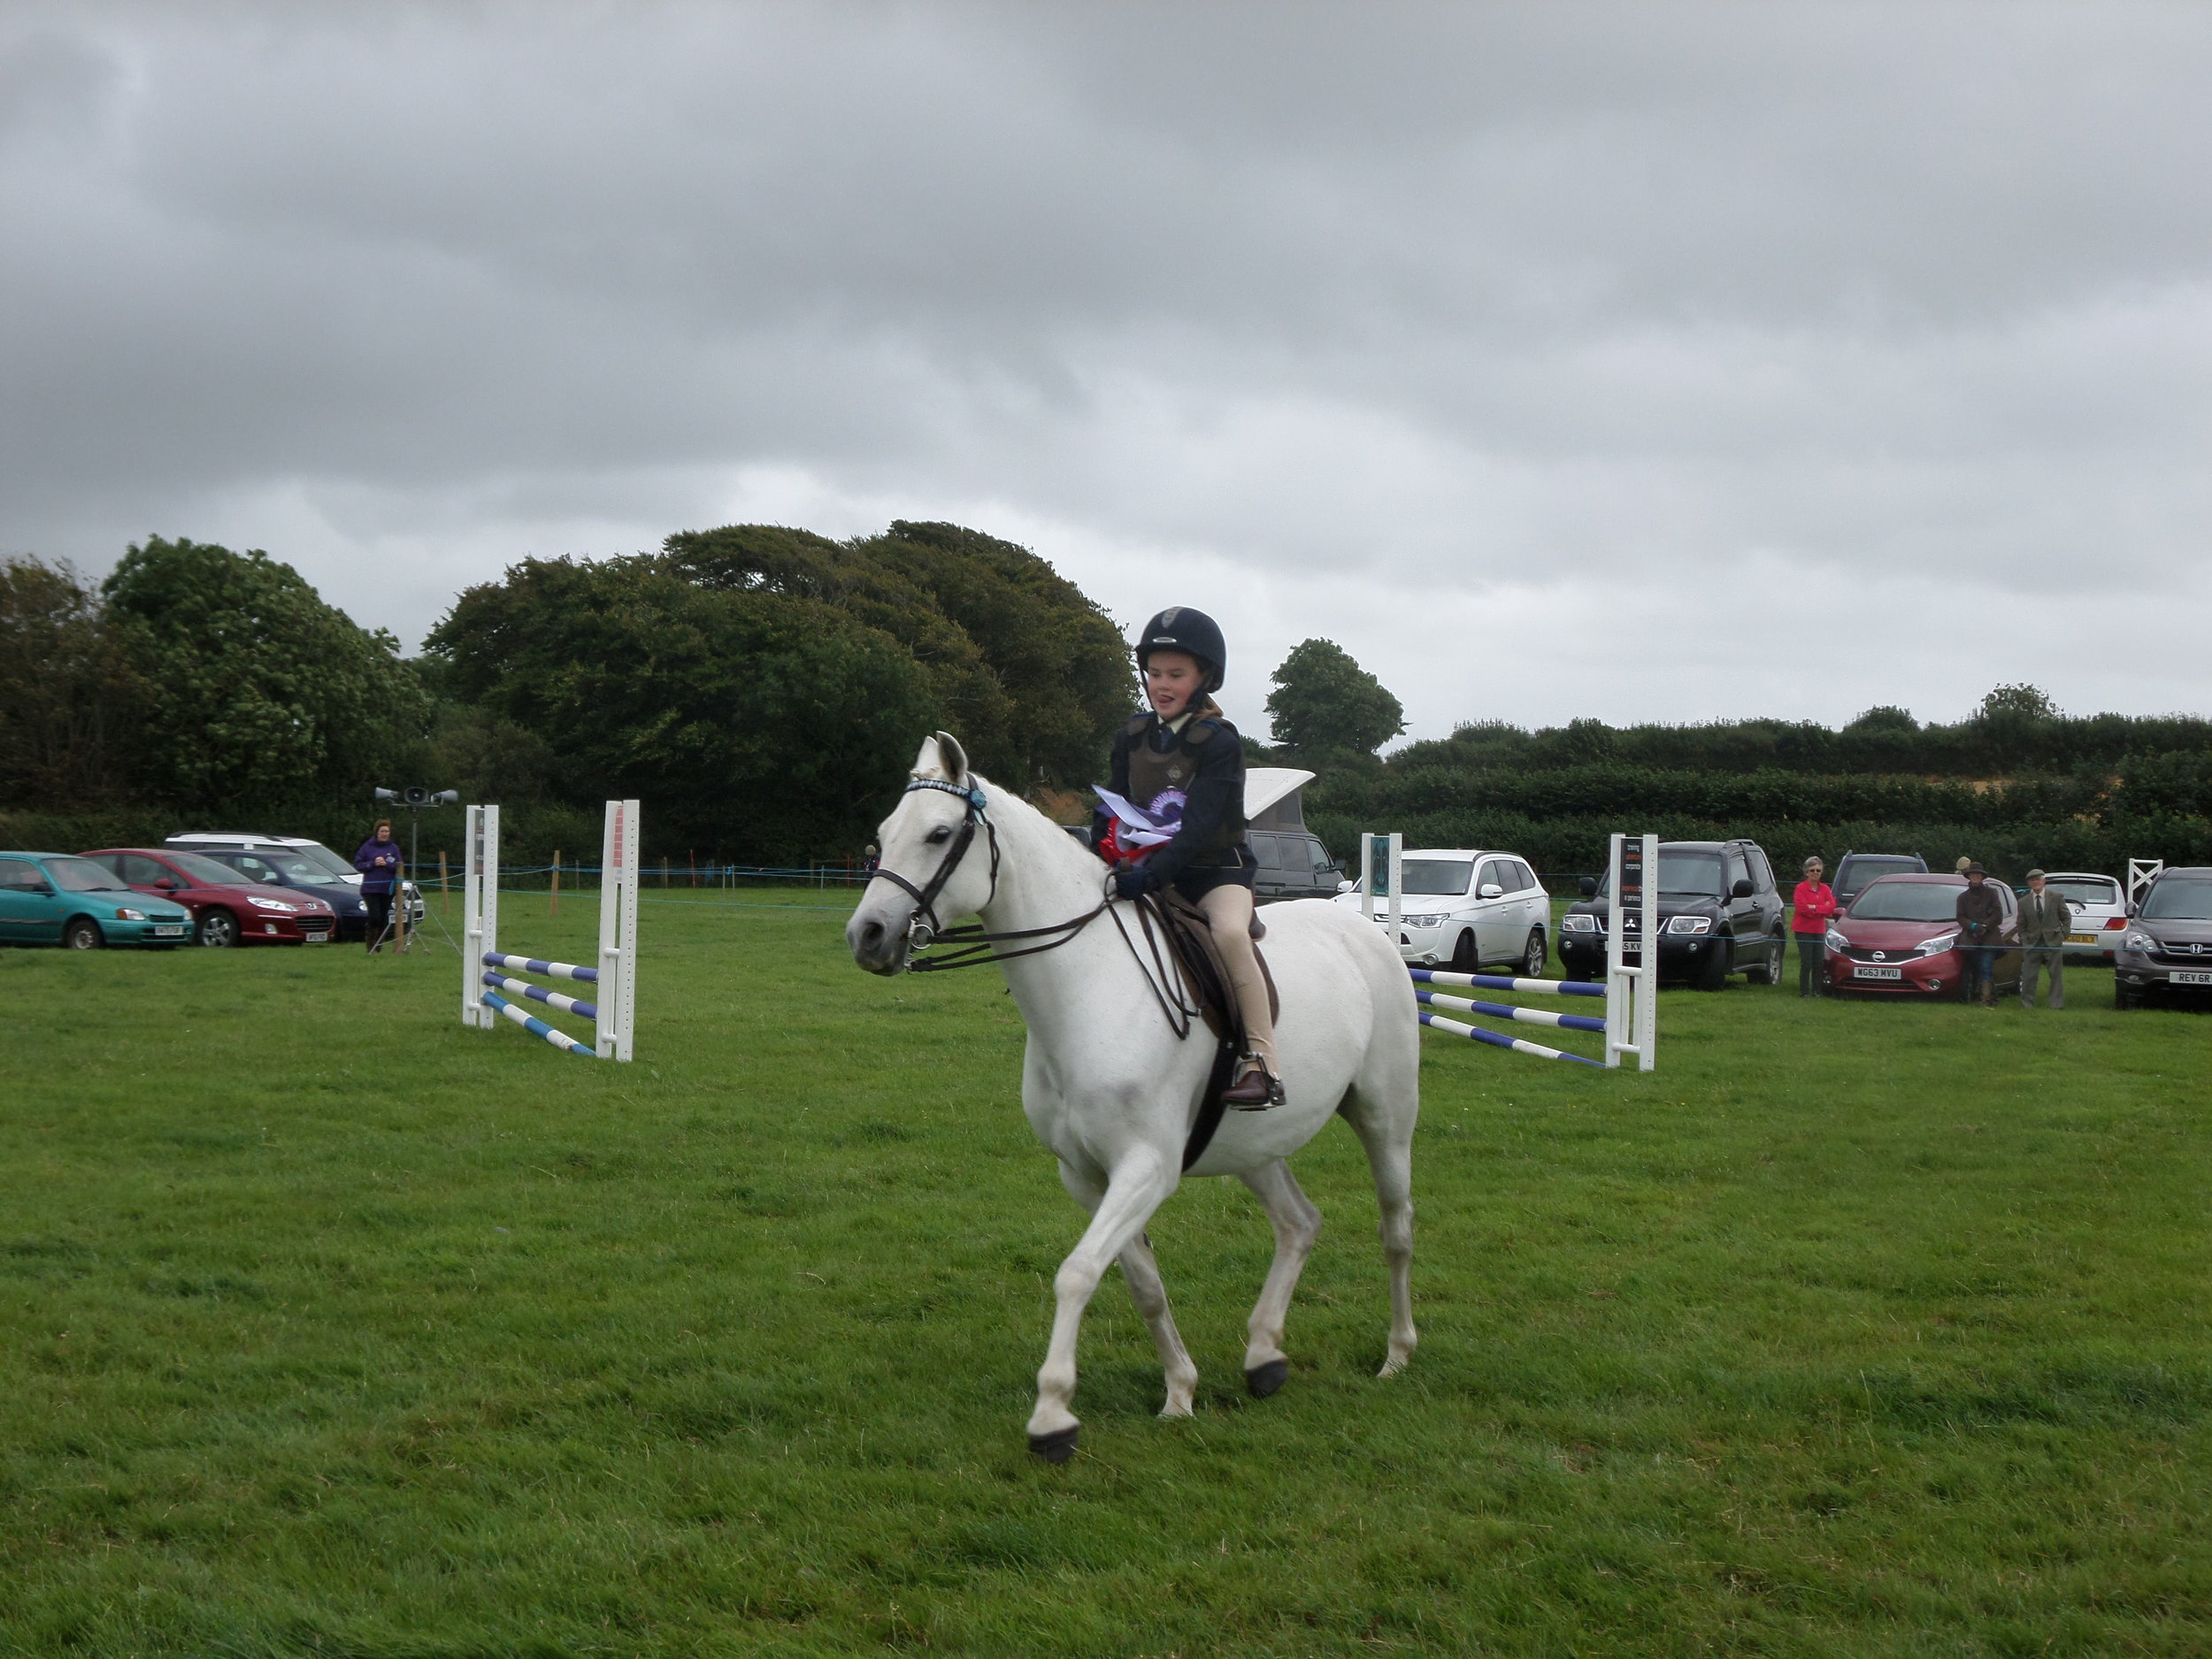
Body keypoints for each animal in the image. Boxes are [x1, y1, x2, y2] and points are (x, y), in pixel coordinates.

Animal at [845, 734, 1416, 1460]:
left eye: (939, 834)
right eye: (885, 833)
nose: (867, 935)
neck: (1087, 986)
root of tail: (1368, 934)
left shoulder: (1145, 1168)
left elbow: (1077, 1272)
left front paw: (1053, 1416)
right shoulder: (1087, 1175)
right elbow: (1141, 1283)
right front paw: (1179, 1392)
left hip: (1385, 1120)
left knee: (1395, 1229)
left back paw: (1396, 1355)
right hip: (1254, 1147)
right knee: (1298, 1223)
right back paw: (1264, 1355)